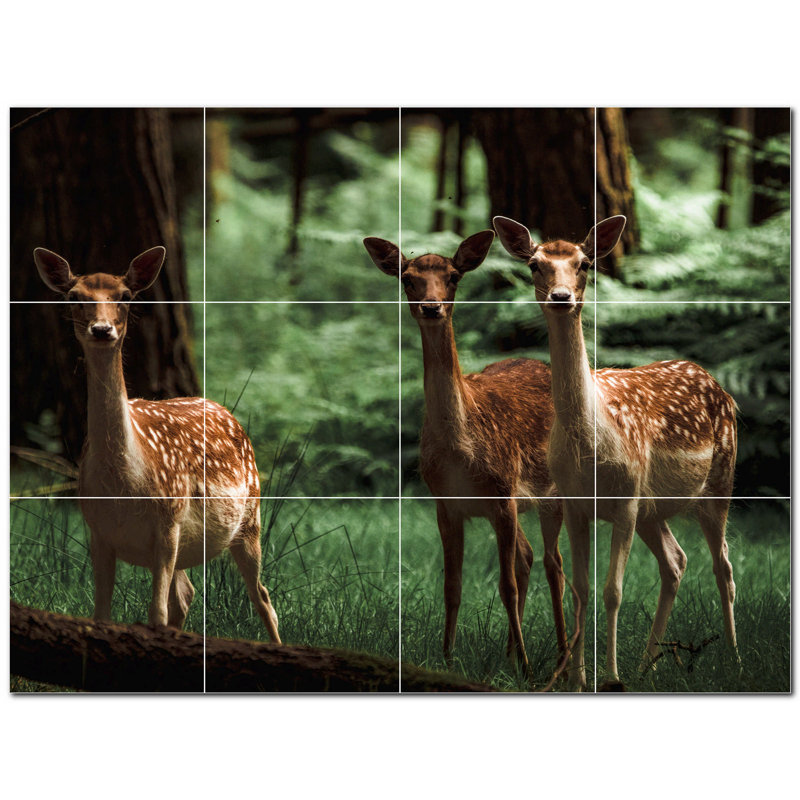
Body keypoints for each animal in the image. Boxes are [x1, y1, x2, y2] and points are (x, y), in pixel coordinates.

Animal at [33, 246, 281, 643]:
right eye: (74, 296)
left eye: (125, 296)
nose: (101, 329)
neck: (124, 482)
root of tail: (225, 411)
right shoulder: (98, 531)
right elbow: (101, 614)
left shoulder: (168, 519)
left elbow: (156, 613)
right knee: (188, 594)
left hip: (251, 516)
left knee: (262, 596)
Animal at [364, 231, 567, 678]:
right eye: (407, 278)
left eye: (453, 276)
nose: (431, 306)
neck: (461, 451)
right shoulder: (447, 504)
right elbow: (451, 586)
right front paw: (447, 657)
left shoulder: (503, 493)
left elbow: (506, 586)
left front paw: (528, 667)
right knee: (528, 557)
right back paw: (511, 654)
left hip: (551, 491)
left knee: (553, 564)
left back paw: (559, 656)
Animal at [493, 214, 738, 690]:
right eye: (534, 264)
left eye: (585, 263)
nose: (561, 296)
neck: (591, 443)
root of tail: (720, 387)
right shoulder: (574, 502)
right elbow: (580, 590)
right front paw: (576, 680)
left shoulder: (625, 498)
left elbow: (613, 591)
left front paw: (609, 677)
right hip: (653, 507)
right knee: (676, 561)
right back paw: (648, 664)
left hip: (719, 480)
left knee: (724, 568)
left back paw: (735, 658)